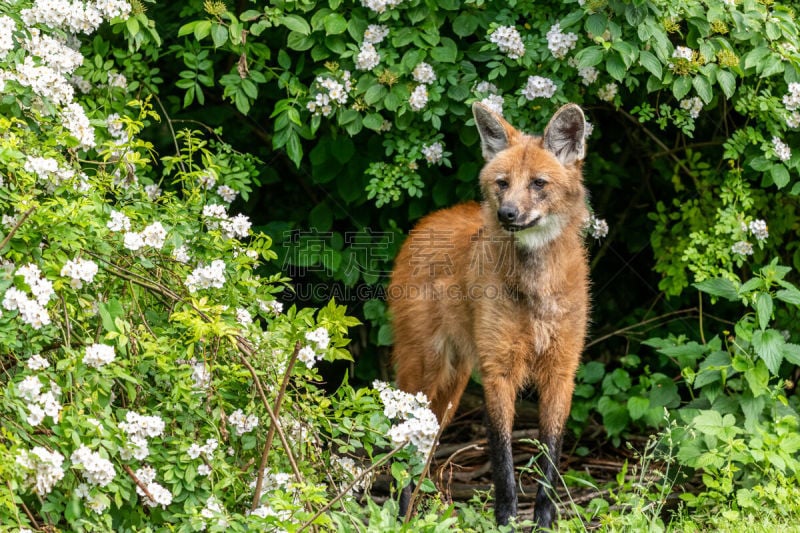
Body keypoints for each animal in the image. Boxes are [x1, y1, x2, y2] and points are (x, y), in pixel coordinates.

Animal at [390, 102, 592, 524]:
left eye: (538, 184)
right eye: (502, 183)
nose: (508, 214)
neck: (536, 292)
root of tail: (426, 221)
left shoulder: (560, 371)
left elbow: (550, 458)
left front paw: (543, 521)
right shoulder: (498, 370)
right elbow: (502, 459)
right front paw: (506, 520)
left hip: (451, 388)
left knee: (423, 447)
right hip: (426, 370)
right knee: (400, 439)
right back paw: (402, 515)